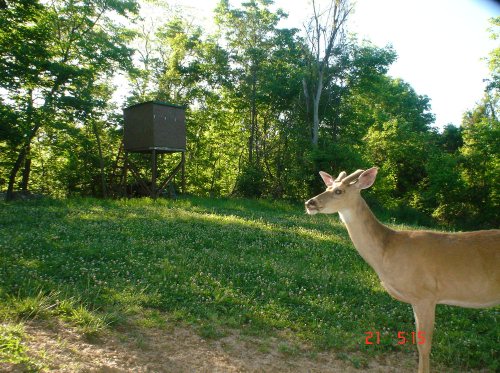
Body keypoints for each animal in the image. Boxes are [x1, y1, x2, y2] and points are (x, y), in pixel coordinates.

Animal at [304, 168, 500, 372]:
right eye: (327, 186)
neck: (387, 251)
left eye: (339, 191)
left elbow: (423, 346)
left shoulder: (426, 294)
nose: (310, 203)